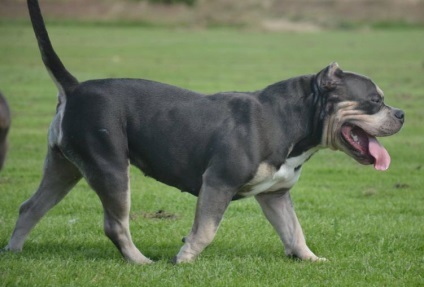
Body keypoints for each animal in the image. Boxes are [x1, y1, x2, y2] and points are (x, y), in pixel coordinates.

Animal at [4, 0, 404, 266]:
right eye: (374, 100)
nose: (401, 113)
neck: (294, 119)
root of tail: (73, 90)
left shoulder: (276, 195)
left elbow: (294, 229)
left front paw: (309, 258)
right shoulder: (218, 182)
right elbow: (207, 228)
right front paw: (184, 257)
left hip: (64, 168)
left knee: (31, 207)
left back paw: (13, 251)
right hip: (111, 168)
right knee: (115, 225)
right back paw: (141, 261)